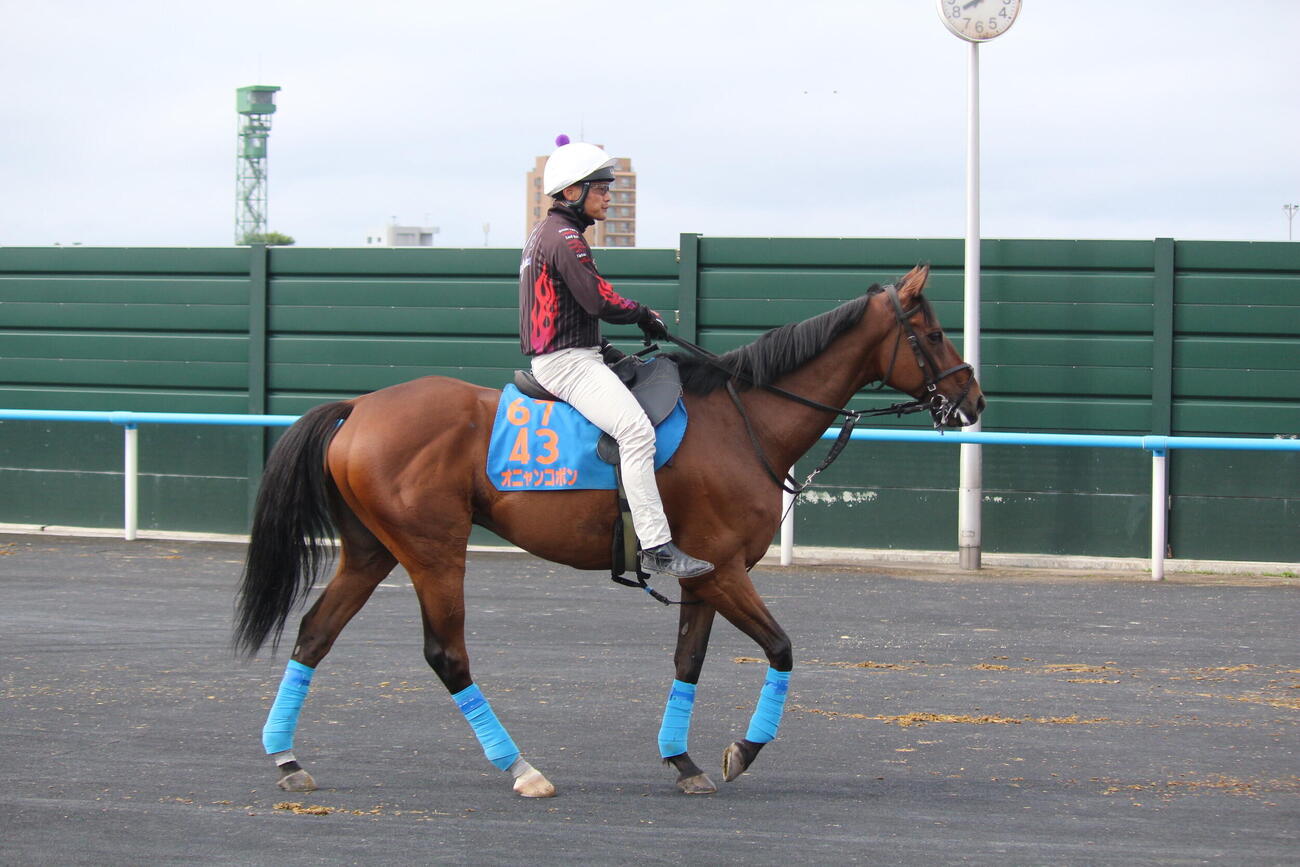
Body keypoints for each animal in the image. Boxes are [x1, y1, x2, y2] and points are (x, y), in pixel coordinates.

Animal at [234, 264, 983, 798]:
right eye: (935, 334)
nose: (972, 399)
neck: (743, 419)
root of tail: (358, 408)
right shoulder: (724, 569)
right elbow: (781, 649)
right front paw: (742, 750)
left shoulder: (704, 578)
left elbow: (688, 662)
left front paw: (681, 759)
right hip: (434, 553)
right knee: (447, 655)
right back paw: (522, 768)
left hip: (371, 554)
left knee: (314, 633)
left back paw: (287, 757)